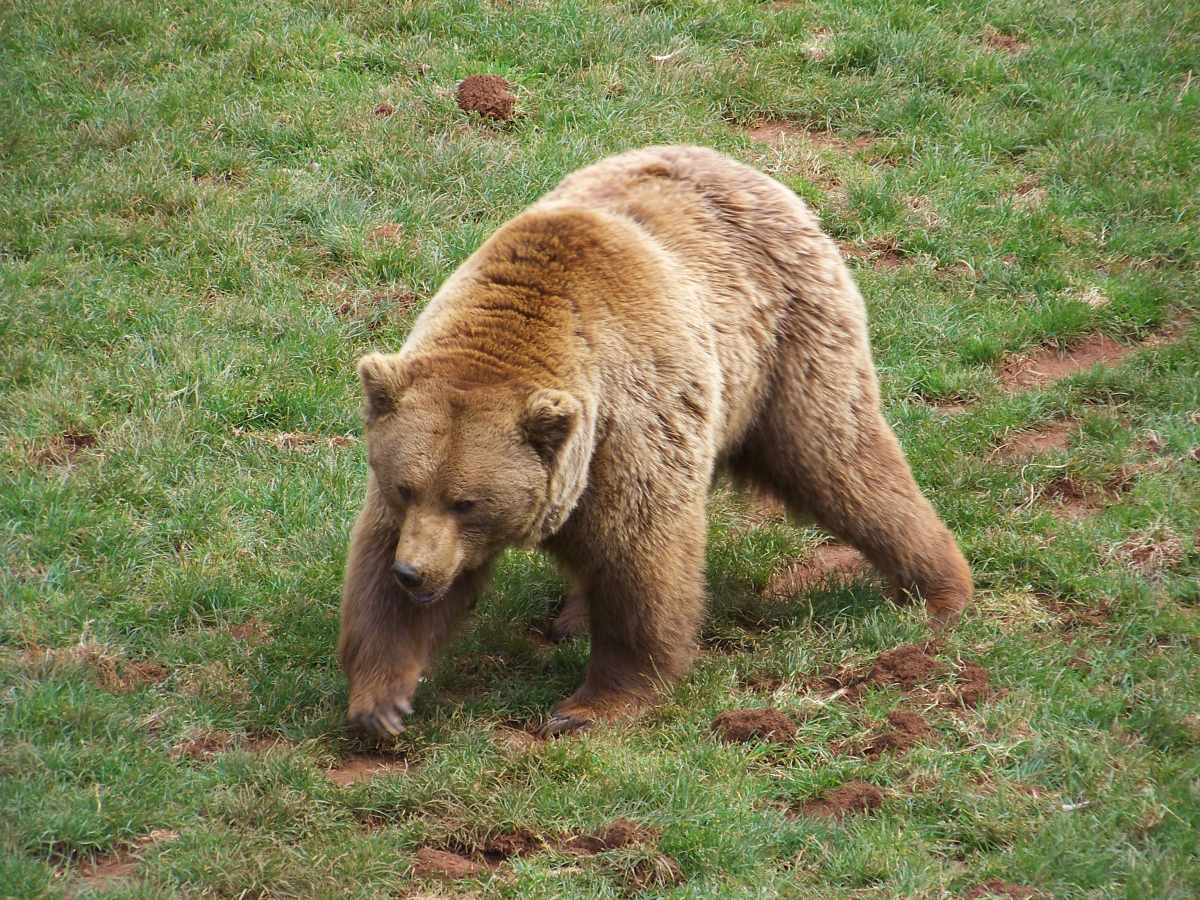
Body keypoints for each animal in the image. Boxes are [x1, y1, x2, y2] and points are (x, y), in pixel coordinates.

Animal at [338, 144, 974, 734]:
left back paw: (939, 591)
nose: (414, 573)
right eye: (405, 488)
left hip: (788, 344)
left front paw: (590, 706)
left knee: (841, 459)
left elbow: (641, 559)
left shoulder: (629, 428)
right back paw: (573, 617)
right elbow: (376, 567)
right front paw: (381, 700)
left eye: (467, 502)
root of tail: (744, 166)